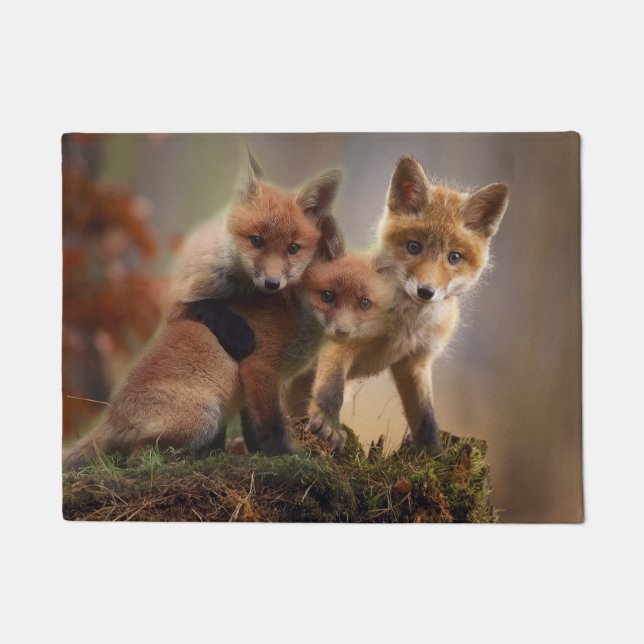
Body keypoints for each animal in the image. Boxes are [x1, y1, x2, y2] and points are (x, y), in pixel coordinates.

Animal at [62, 251, 395, 469]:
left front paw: (260, 453)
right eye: (327, 296)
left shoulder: (256, 386)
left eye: (363, 303)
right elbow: (272, 424)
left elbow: (253, 427)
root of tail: (112, 414)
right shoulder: (259, 367)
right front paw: (285, 457)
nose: (343, 331)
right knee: (134, 458)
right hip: (204, 418)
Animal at [167, 151, 343, 359]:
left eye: (293, 248)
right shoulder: (176, 301)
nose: (272, 284)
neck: (240, 288)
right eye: (257, 241)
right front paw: (237, 334)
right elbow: (207, 305)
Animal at [306, 156, 509, 455]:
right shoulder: (341, 337)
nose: (426, 291)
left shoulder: (416, 362)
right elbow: (331, 390)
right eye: (414, 247)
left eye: (454, 257)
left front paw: (434, 454)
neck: (403, 326)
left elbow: (426, 416)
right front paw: (327, 424)